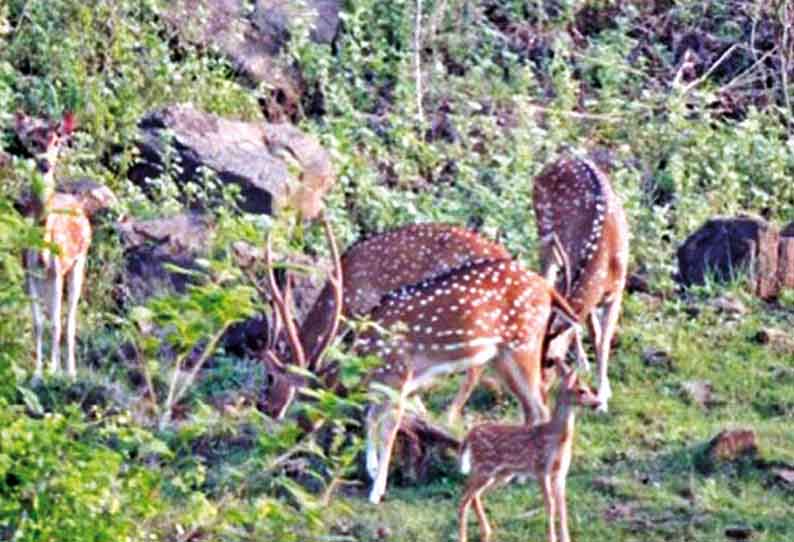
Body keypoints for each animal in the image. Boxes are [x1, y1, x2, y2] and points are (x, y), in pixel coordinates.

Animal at [13, 113, 117, 378]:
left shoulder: (58, 270)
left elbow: (56, 323)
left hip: (79, 262)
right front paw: (38, 373)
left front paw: (53, 370)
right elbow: (38, 323)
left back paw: (70, 371)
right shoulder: (28, 272)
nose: (45, 163)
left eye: (56, 141)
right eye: (33, 142)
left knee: (69, 319)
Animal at [458, 362, 600, 542]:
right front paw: (551, 538)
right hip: (484, 468)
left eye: (588, 388)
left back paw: (486, 532)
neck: (557, 438)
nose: (598, 402)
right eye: (582, 390)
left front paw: (566, 538)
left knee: (475, 496)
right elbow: (550, 504)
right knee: (464, 498)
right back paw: (463, 537)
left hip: (501, 474)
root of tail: (469, 435)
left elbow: (562, 506)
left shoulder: (560, 473)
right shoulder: (541, 468)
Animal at [528, 159, 628, 414]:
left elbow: (602, 341)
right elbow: (593, 332)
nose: (540, 393)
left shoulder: (618, 291)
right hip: (544, 233)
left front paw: (603, 397)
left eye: (550, 360)